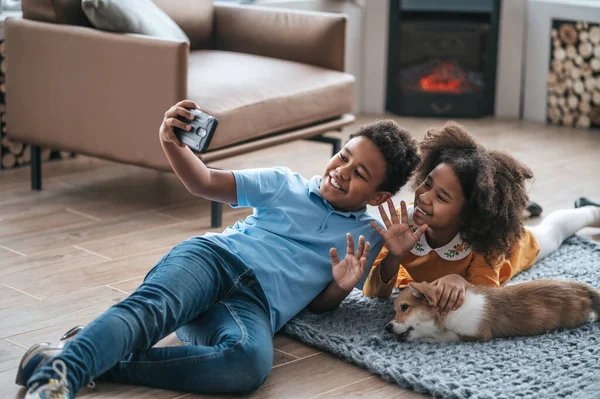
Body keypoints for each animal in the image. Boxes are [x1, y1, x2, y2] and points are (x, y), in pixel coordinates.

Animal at [384, 280, 600, 342]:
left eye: (404, 307)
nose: (386, 328)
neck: (446, 312)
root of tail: (582, 288)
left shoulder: (475, 334)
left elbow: (443, 336)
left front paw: (426, 337)